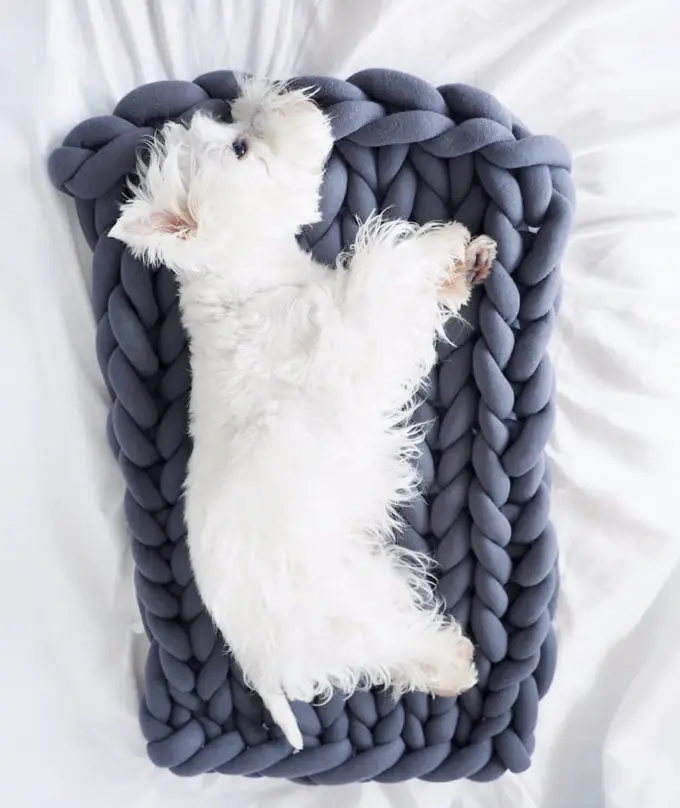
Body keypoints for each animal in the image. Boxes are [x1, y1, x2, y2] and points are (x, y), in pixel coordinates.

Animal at [110, 78, 496, 751]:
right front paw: (445, 247)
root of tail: (256, 665)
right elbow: (388, 262)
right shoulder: (351, 315)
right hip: (352, 601)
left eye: (230, 127)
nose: (274, 95)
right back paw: (456, 665)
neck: (251, 280)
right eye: (241, 147)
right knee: (393, 643)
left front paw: (463, 264)